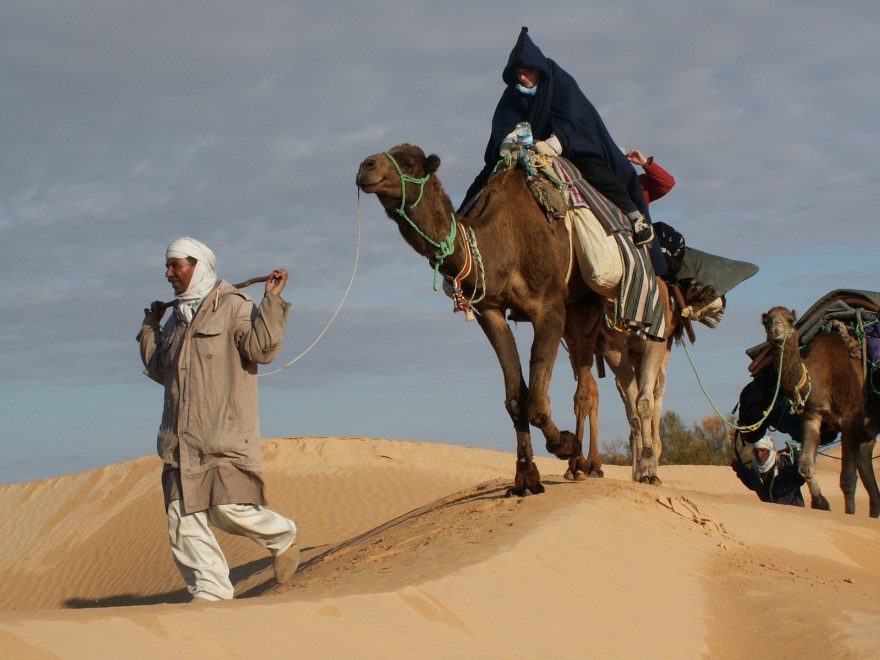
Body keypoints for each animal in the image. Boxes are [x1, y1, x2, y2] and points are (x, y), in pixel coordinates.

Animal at [358, 146, 672, 496]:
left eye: (410, 162)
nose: (365, 167)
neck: (503, 242)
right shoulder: (490, 312)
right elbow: (515, 399)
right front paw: (525, 479)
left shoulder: (549, 307)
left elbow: (536, 401)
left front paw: (565, 444)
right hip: (581, 313)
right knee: (592, 386)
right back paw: (583, 466)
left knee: (618, 393)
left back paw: (634, 470)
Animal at [760, 306, 876, 520]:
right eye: (766, 321)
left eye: (790, 320)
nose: (775, 328)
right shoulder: (813, 416)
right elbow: (805, 466)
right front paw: (821, 503)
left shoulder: (851, 417)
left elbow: (848, 478)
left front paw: (849, 514)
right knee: (866, 455)